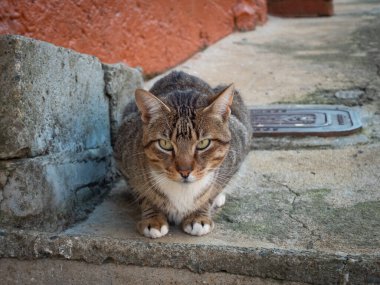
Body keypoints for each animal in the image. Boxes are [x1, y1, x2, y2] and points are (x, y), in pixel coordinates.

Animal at [116, 71, 252, 237]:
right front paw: (153, 219)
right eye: (165, 144)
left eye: (203, 143)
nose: (185, 172)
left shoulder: (237, 155)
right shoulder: (123, 158)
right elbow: (143, 195)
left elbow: (212, 192)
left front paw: (199, 216)